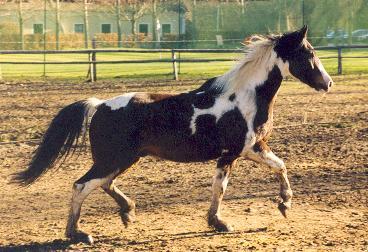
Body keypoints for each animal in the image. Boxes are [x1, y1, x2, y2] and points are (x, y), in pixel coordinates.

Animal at [12, 26, 332, 244]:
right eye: (309, 53)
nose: (327, 83)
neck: (244, 98)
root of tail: (99, 104)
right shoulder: (239, 151)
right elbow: (236, 182)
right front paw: (269, 209)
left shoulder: (244, 151)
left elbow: (263, 172)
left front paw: (227, 220)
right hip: (113, 159)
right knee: (82, 185)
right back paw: (78, 234)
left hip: (123, 159)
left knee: (104, 183)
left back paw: (127, 212)